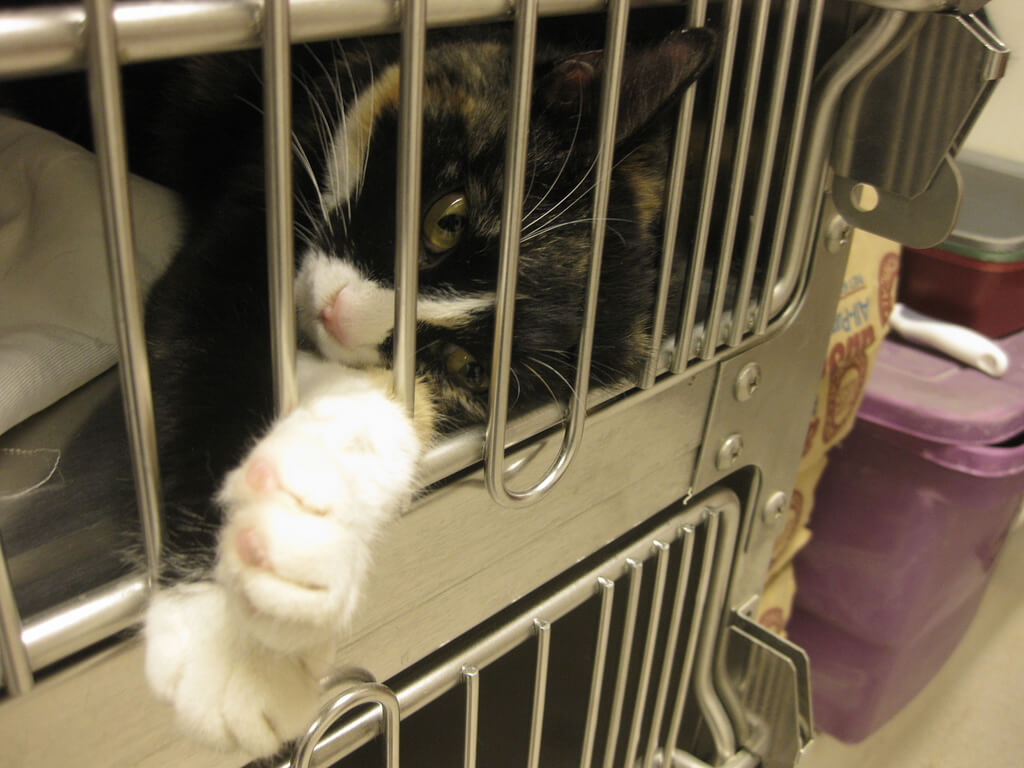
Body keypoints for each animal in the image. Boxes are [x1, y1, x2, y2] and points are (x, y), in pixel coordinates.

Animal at [6, 16, 712, 757]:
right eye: (447, 219)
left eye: (468, 366)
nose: (339, 314)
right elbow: (210, 358)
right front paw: (229, 647)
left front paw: (311, 510)